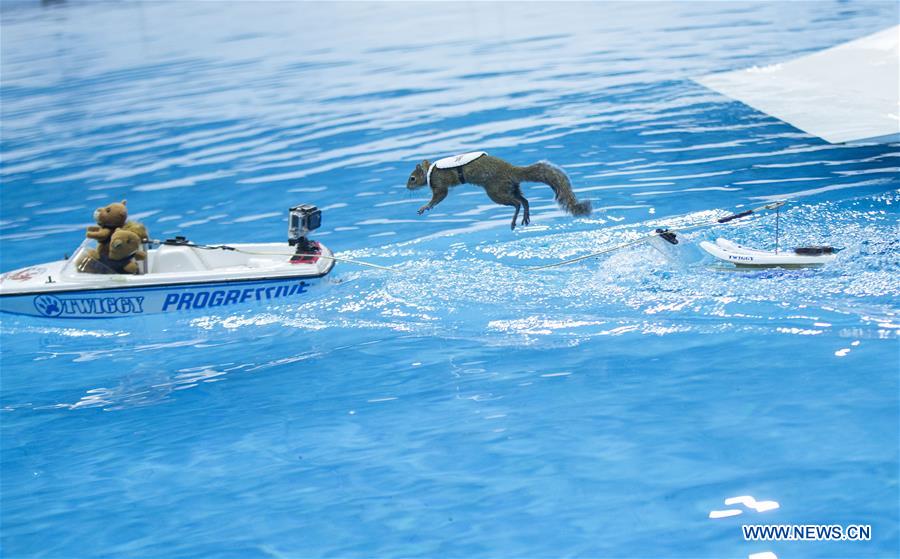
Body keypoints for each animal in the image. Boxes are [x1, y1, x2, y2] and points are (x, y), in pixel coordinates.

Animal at [406, 152, 592, 229]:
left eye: (412, 178)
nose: (407, 187)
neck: (430, 171)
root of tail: (511, 170)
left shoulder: (439, 183)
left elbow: (439, 196)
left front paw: (425, 207)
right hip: (510, 188)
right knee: (524, 200)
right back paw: (525, 217)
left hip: (496, 192)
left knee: (517, 203)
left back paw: (514, 220)